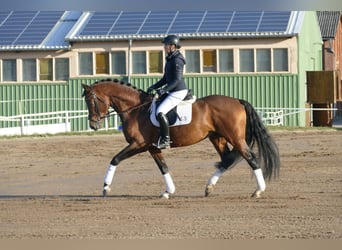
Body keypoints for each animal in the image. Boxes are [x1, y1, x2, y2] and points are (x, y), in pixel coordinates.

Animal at [81, 79, 280, 198]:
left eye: (92, 101)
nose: (93, 125)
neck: (136, 109)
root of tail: (238, 100)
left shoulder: (138, 144)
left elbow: (115, 159)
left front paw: (105, 187)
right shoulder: (153, 147)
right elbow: (163, 167)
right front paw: (168, 192)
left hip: (235, 138)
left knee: (250, 158)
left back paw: (258, 190)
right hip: (217, 137)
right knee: (226, 160)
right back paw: (209, 187)